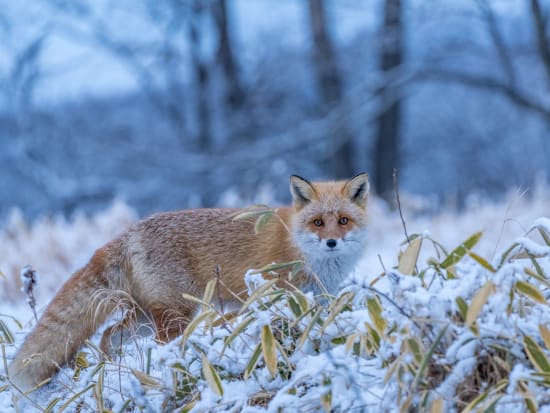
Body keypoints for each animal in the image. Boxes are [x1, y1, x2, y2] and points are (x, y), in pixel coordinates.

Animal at [8, 173, 370, 392]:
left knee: (109, 336)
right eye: (317, 222)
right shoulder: (277, 293)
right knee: (158, 346)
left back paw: (113, 372)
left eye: (343, 221)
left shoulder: (316, 298)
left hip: (145, 317)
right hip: (177, 315)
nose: (331, 242)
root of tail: (128, 233)